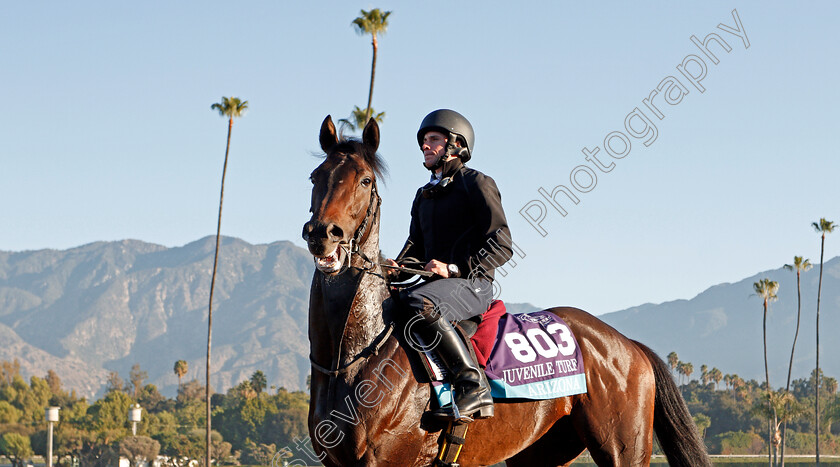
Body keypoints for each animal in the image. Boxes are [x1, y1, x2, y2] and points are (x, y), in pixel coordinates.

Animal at [302, 114, 708, 467]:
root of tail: (628, 346)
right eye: (315, 176)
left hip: (624, 450)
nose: (323, 234)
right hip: (540, 452)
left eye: (365, 180)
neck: (352, 356)